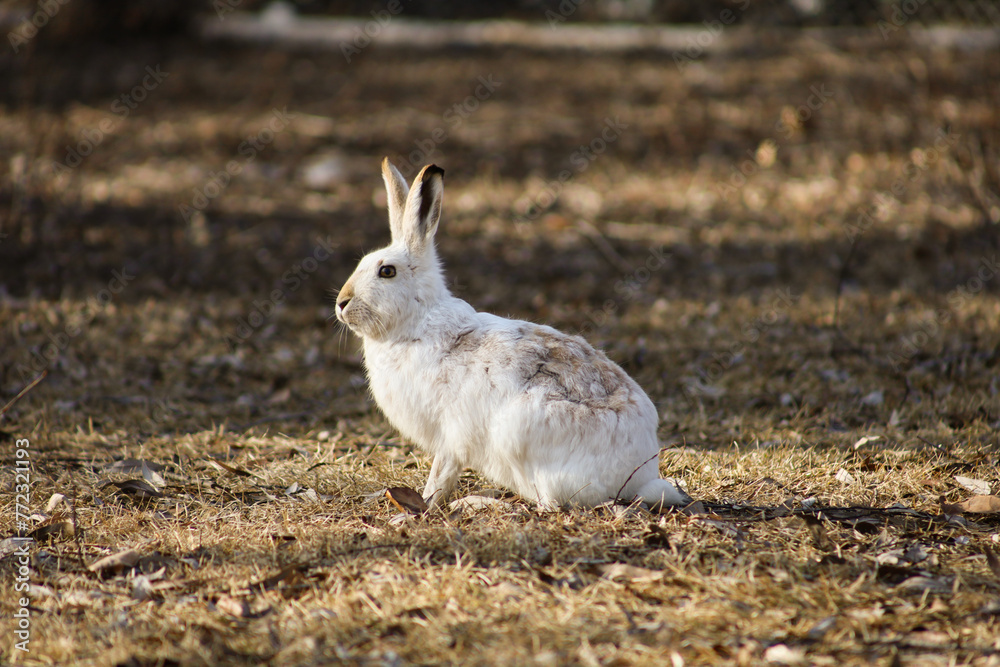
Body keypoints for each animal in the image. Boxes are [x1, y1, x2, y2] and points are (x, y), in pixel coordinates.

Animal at [335, 158, 691, 511]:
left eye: (387, 271)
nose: (341, 302)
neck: (416, 321)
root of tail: (641, 474)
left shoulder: (452, 436)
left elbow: (441, 474)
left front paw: (425, 503)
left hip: (520, 434)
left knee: (549, 504)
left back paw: (478, 502)